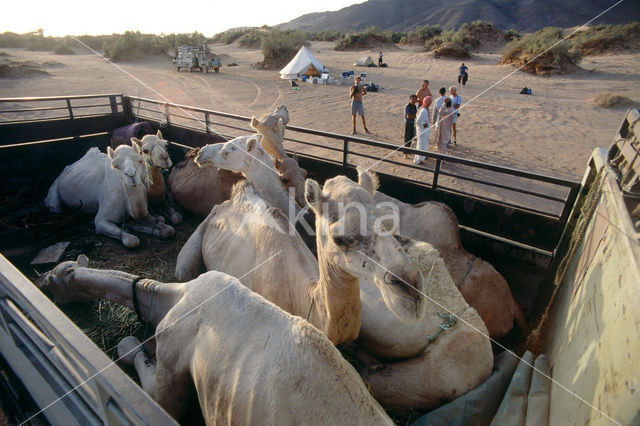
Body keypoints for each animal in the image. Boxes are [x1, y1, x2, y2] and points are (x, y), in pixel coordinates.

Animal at [38, 256, 396, 426]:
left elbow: (155, 389)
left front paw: (127, 345)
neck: (173, 296)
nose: (41, 281)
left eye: (56, 276)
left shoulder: (171, 352)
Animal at [44, 144, 175, 248]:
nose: (131, 175)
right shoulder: (101, 220)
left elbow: (168, 229)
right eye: (115, 165)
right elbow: (132, 240)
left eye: (139, 160)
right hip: (54, 196)